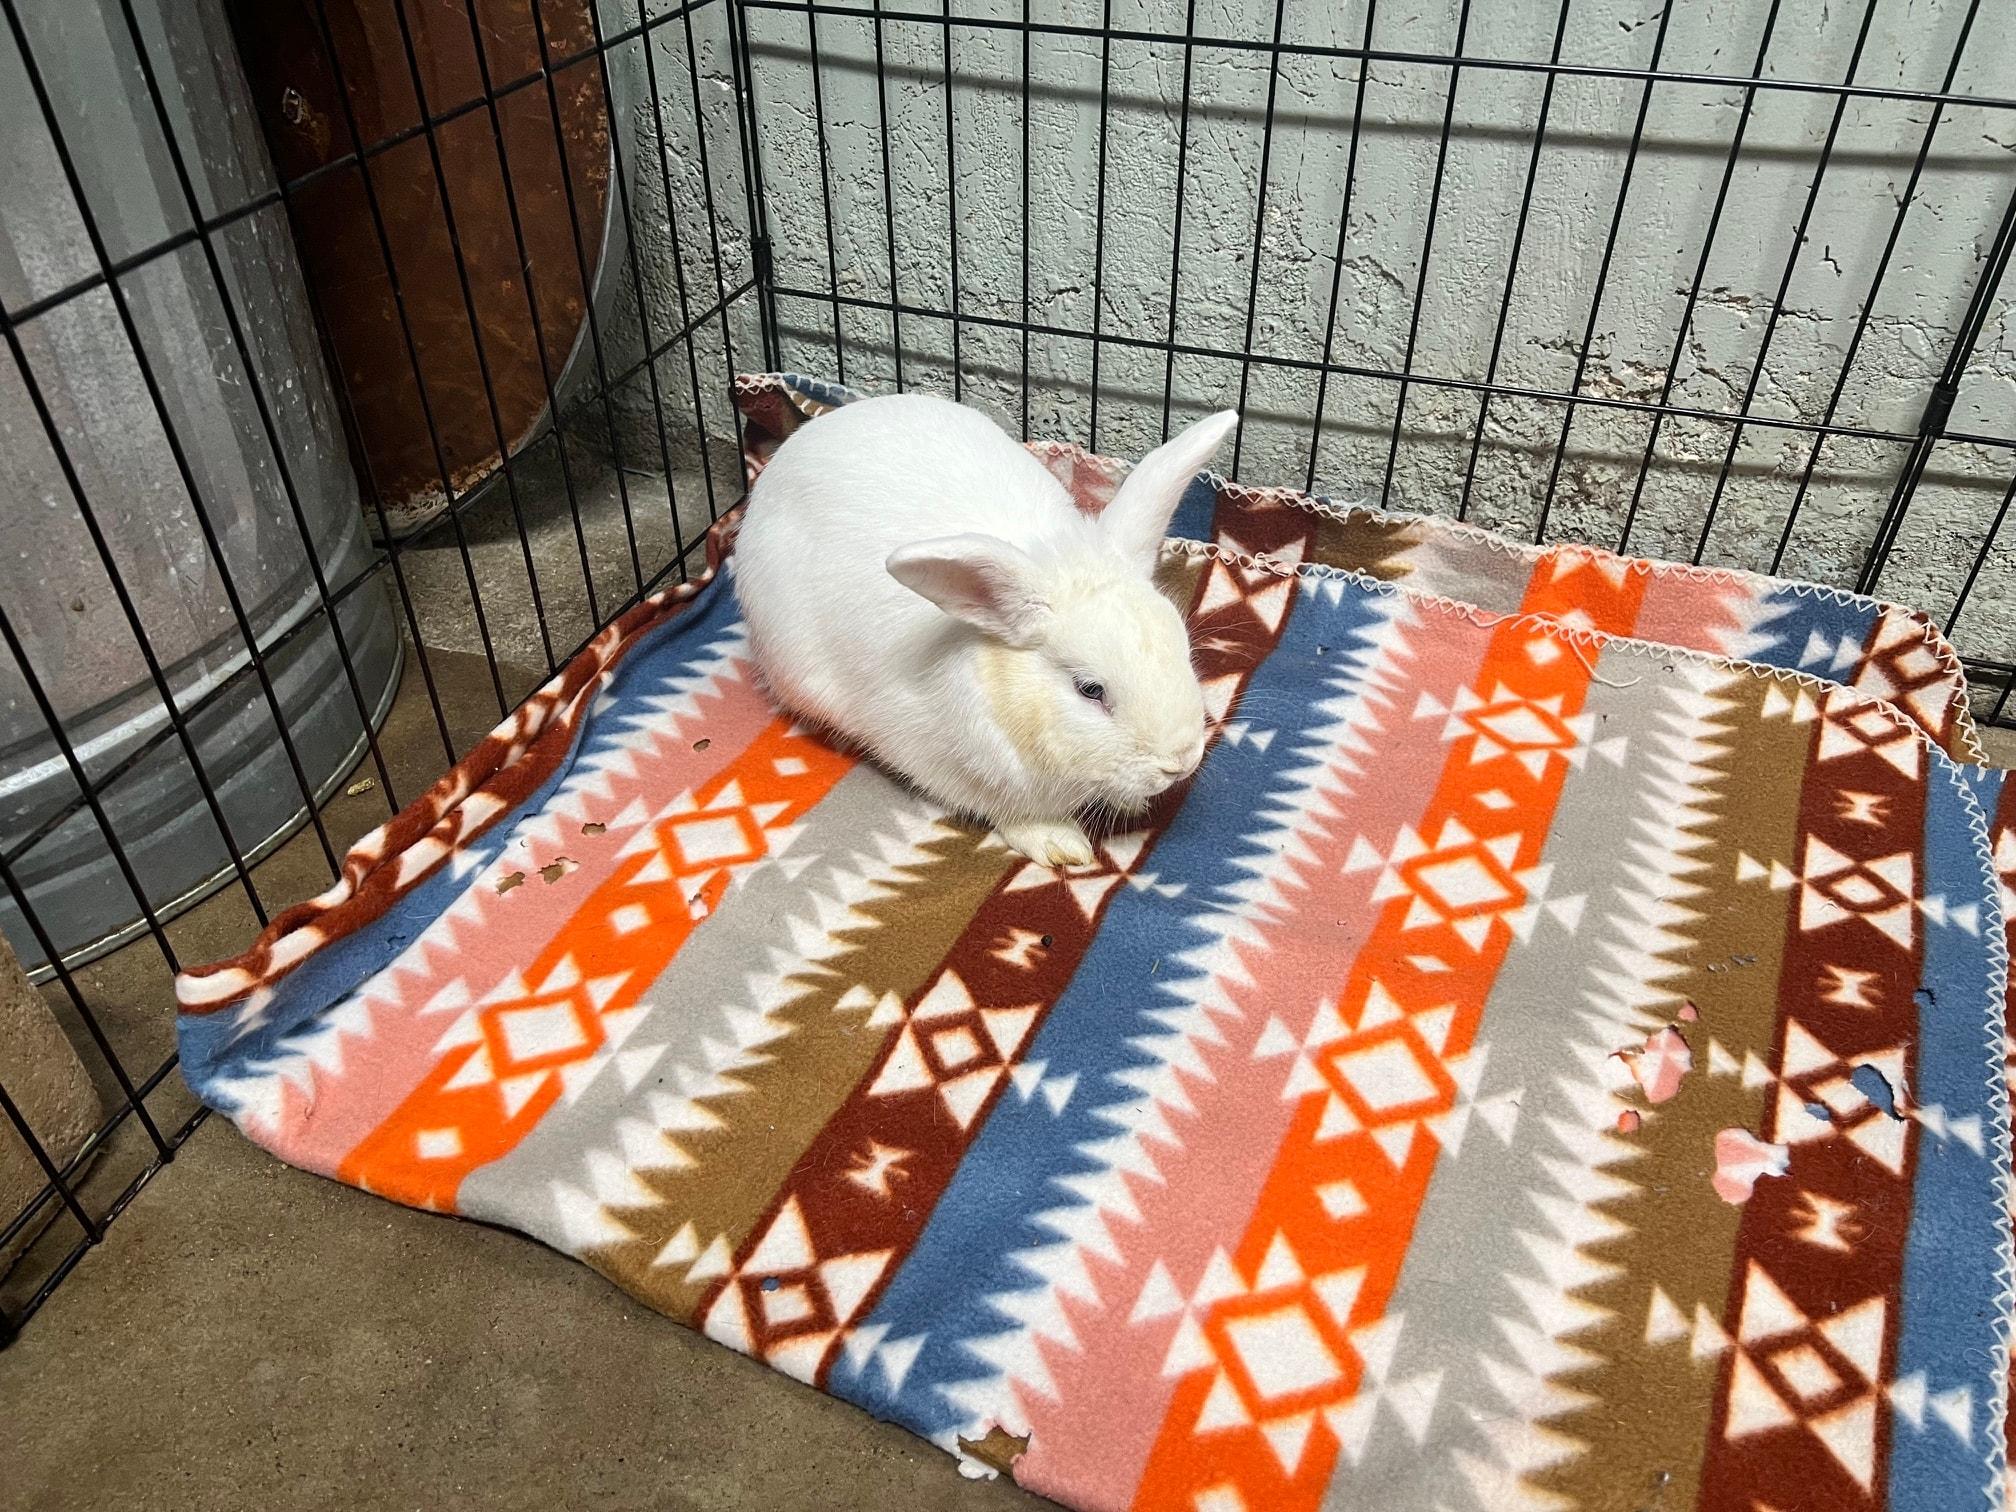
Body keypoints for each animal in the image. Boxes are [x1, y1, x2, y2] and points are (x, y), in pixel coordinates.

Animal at [732, 392, 1238, 869]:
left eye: (1182, 649)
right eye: (1090, 689)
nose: (1181, 762)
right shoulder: (934, 758)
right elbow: (1007, 809)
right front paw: (1059, 843)